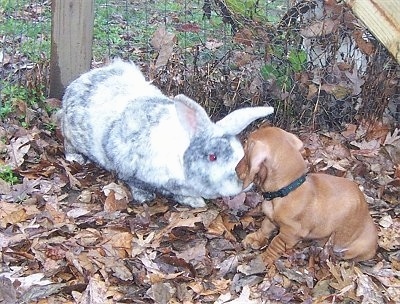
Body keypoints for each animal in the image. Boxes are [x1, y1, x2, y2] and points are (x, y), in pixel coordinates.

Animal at [59, 58, 274, 207]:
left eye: (240, 151)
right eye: (212, 156)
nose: (245, 180)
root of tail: (81, 79)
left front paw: (194, 201)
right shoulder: (128, 168)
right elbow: (135, 183)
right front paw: (146, 197)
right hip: (71, 134)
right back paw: (75, 158)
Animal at [236, 126, 380, 266]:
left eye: (245, 151)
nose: (235, 170)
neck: (288, 189)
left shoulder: (290, 233)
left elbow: (275, 243)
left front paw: (265, 258)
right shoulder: (271, 218)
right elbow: (265, 227)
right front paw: (255, 238)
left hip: (356, 249)